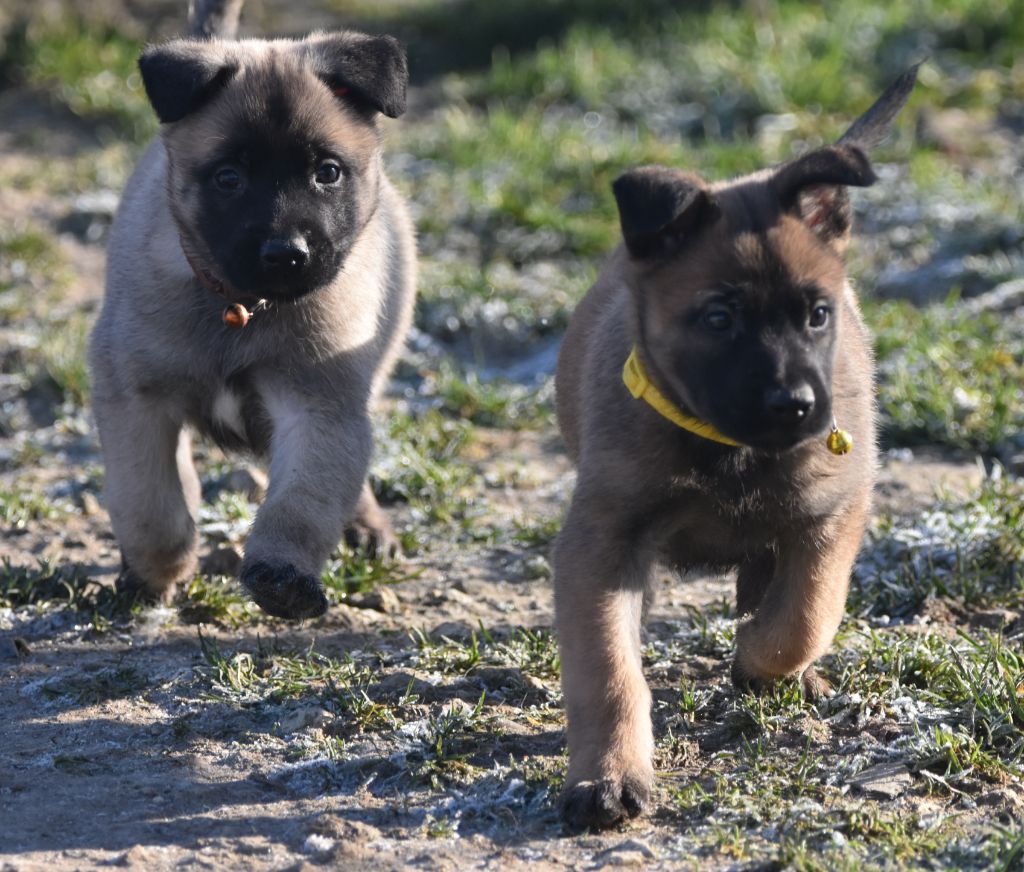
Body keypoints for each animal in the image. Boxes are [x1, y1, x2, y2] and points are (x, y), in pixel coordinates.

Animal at [89, 0, 415, 618]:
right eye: (228, 177)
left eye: (327, 172)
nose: (287, 253)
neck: (243, 308)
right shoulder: (136, 401)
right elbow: (151, 504)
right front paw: (153, 573)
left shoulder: (319, 407)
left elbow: (304, 502)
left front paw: (283, 576)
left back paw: (367, 525)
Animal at [552, 69, 921, 831]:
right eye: (719, 318)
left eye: (818, 314)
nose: (797, 405)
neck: (731, 452)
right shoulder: (601, 541)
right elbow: (607, 671)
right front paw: (607, 776)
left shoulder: (831, 512)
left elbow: (805, 612)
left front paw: (756, 657)